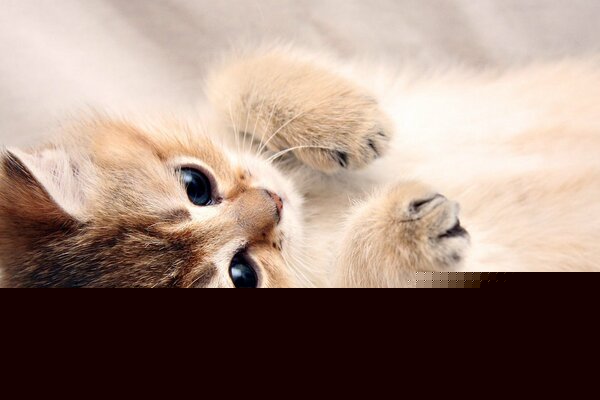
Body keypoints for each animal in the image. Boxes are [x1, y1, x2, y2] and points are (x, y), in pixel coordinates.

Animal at [1, 46, 599, 288]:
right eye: (241, 275)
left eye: (196, 184)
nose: (273, 203)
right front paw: (405, 233)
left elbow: (233, 80)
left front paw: (347, 123)